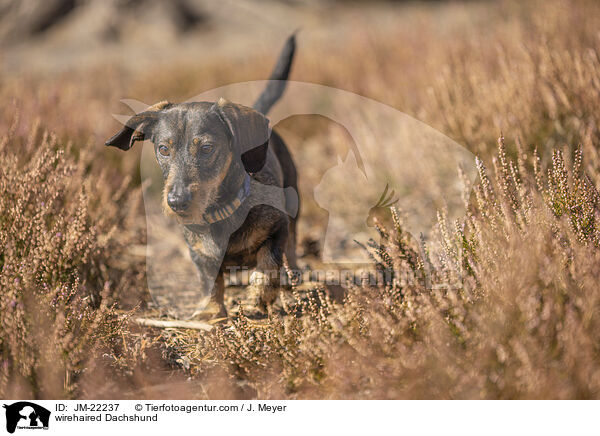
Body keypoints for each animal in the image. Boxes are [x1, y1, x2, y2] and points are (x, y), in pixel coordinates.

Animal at [106, 35, 298, 320]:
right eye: (163, 149)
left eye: (207, 148)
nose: (176, 202)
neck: (221, 213)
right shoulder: (198, 255)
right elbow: (210, 283)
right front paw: (214, 314)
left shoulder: (277, 228)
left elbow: (267, 266)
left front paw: (258, 299)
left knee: (292, 247)